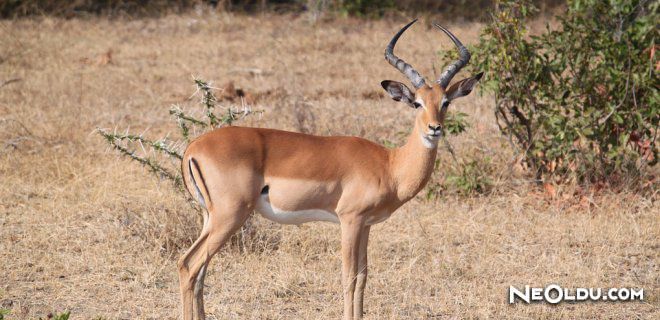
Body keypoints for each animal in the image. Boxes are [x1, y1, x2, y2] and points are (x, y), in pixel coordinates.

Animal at [178, 19, 482, 320]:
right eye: (417, 103)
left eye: (445, 102)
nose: (435, 128)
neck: (389, 164)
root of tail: (193, 148)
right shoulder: (350, 220)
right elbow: (349, 277)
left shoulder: (366, 225)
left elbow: (363, 277)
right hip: (230, 215)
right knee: (188, 265)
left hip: (211, 217)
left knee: (199, 272)